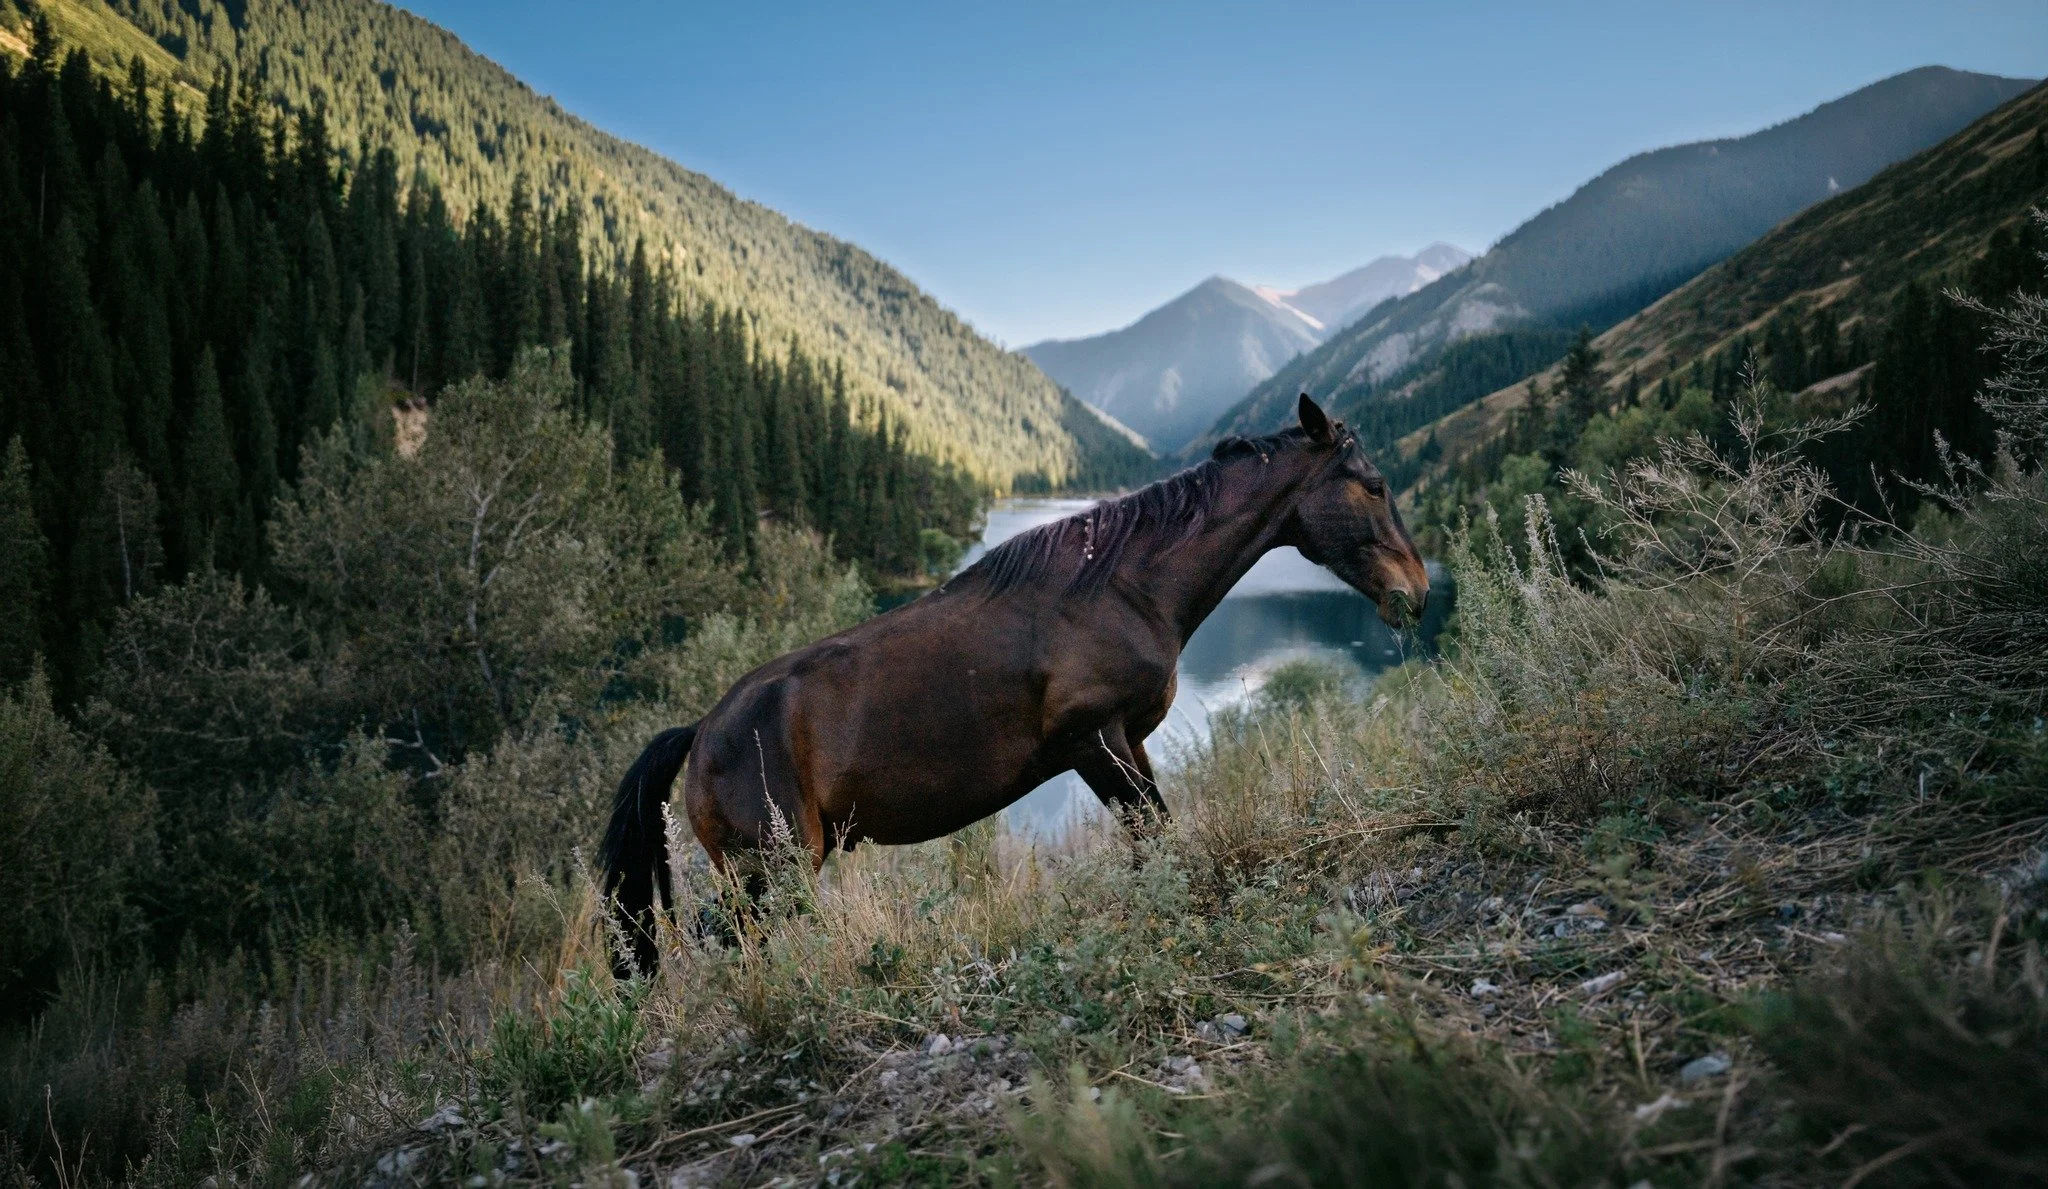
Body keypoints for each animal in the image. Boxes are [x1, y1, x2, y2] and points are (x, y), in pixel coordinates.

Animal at [600, 394, 1430, 974]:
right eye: (1373, 484)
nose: (1417, 590)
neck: (1122, 585)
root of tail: (703, 730)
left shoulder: (1128, 742)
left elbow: (1157, 836)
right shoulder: (1097, 742)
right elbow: (1153, 838)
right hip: (772, 865)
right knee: (731, 940)